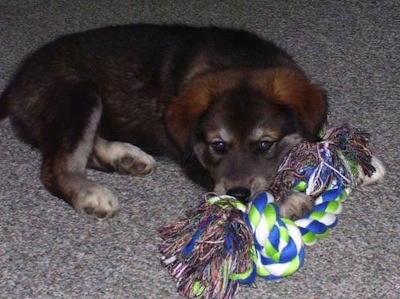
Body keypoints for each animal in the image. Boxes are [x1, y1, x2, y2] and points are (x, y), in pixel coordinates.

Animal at [0, 24, 328, 220]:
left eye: (264, 145)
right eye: (218, 145)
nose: (238, 195)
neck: (241, 60)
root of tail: (15, 86)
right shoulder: (194, 159)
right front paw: (284, 198)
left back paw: (125, 157)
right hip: (80, 92)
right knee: (55, 167)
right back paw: (89, 194)